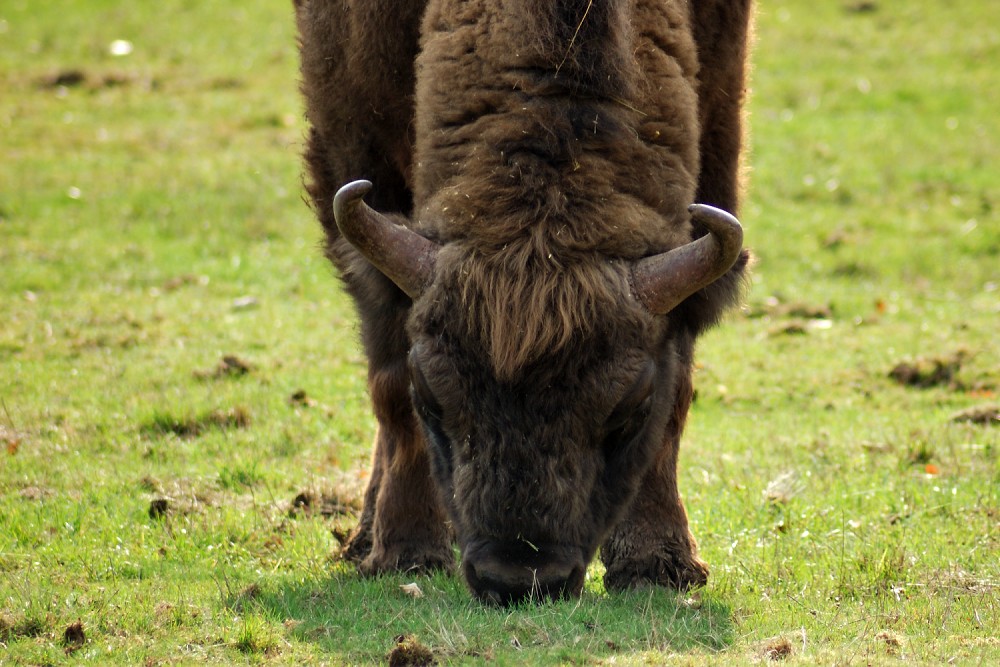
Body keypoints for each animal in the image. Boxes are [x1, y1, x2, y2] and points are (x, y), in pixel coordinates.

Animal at [292, 0, 752, 604]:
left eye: (628, 408)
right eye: (430, 395)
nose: (518, 578)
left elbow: (676, 395)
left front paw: (658, 565)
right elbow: (389, 386)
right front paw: (405, 552)